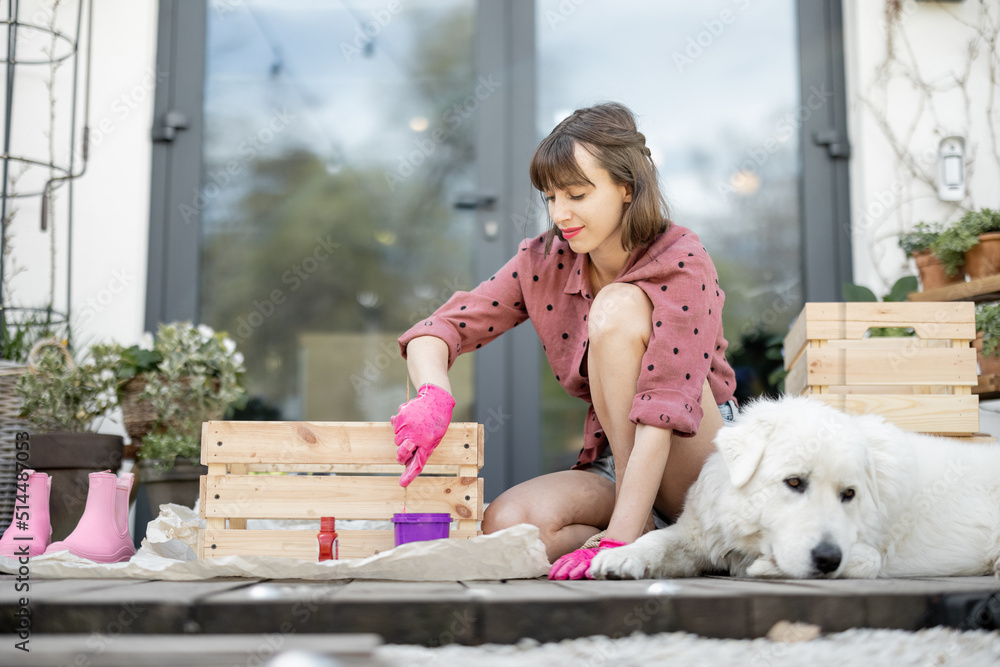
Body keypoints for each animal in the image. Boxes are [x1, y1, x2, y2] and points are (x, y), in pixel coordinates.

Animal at [588, 396, 1000, 580]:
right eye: (794, 483)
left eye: (848, 494)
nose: (827, 559)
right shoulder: (698, 535)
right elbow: (657, 540)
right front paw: (620, 556)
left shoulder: (868, 549)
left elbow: (867, 560)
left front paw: (767, 568)